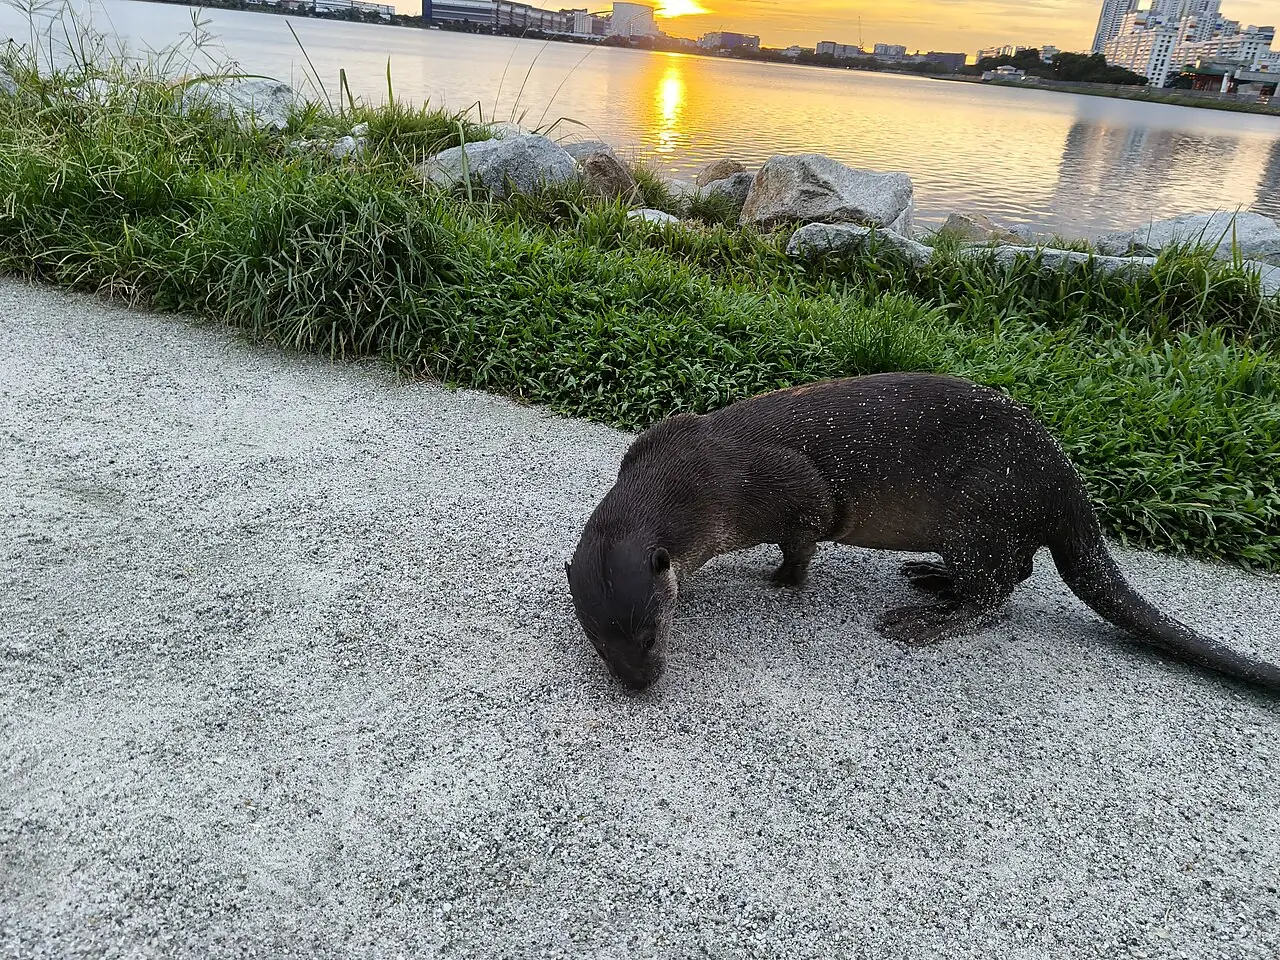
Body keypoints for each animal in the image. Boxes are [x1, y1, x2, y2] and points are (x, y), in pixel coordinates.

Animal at [565, 373, 1280, 696]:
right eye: (600, 641)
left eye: (650, 634)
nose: (639, 681)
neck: (702, 472)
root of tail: (1065, 482)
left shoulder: (791, 492)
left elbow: (805, 539)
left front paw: (780, 580)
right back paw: (931, 579)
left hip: (983, 508)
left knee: (1001, 587)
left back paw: (923, 620)